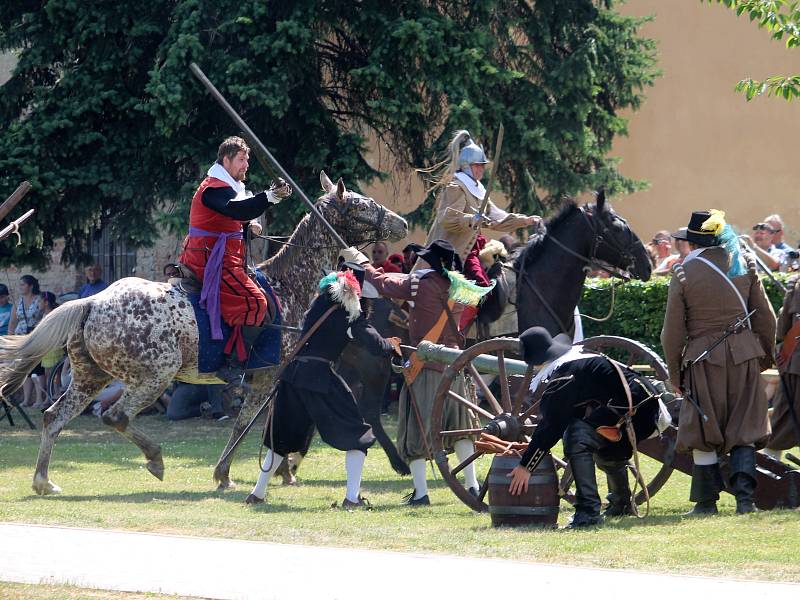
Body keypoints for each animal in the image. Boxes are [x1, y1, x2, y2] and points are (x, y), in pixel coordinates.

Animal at [0, 171, 406, 494]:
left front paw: (284, 471)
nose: (401, 223)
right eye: (362, 204)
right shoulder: (267, 378)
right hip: (153, 376)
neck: (288, 286)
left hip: (90, 377)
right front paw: (226, 474)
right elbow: (246, 425)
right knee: (115, 416)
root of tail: (92, 303)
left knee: (54, 417)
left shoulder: (283, 380)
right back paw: (155, 459)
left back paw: (44, 481)